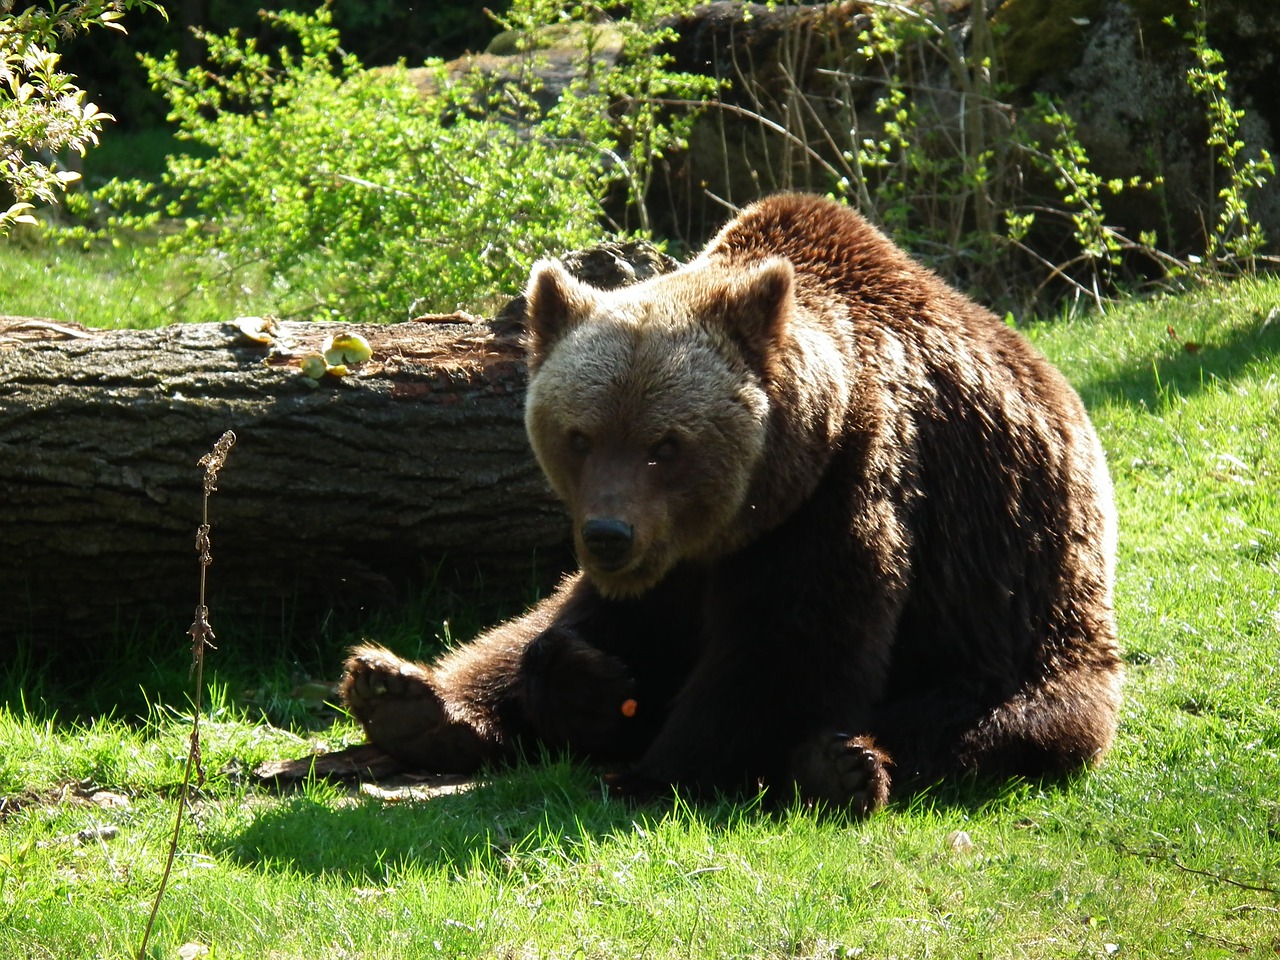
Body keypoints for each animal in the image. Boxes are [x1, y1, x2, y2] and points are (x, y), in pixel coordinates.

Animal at [340, 192, 1121, 814]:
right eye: (580, 436)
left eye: (665, 444)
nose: (609, 534)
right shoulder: (667, 562)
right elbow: (571, 626)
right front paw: (587, 688)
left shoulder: (848, 494)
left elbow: (786, 650)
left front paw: (654, 773)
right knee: (514, 632)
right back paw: (404, 696)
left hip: (1030, 621)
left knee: (990, 722)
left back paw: (839, 766)